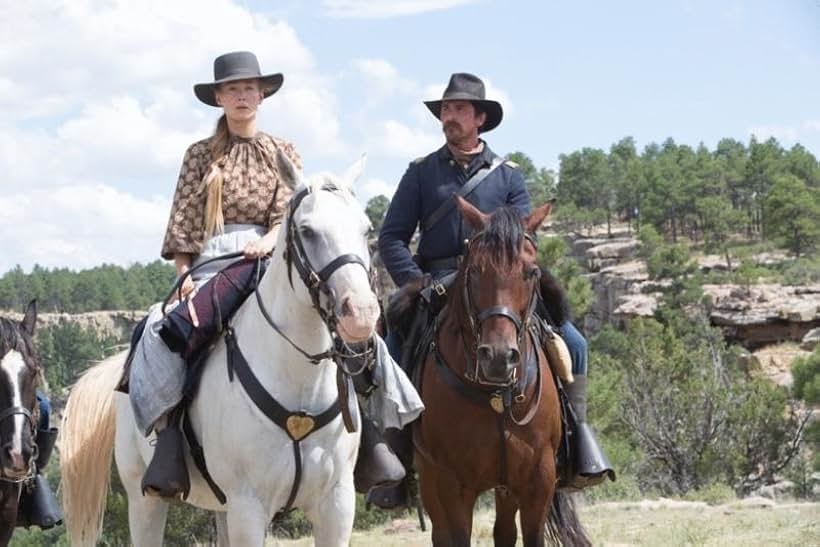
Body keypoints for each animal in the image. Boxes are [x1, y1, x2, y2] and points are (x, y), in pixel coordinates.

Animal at [60, 151, 382, 547]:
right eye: (307, 230)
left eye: (366, 229)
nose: (361, 313)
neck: (299, 386)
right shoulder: (249, 508)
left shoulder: (336, 505)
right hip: (143, 498)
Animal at [414, 198, 588, 547]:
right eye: (474, 270)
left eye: (531, 272)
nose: (498, 357)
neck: (493, 395)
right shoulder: (453, 485)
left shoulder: (538, 481)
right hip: (429, 476)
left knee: (504, 531)